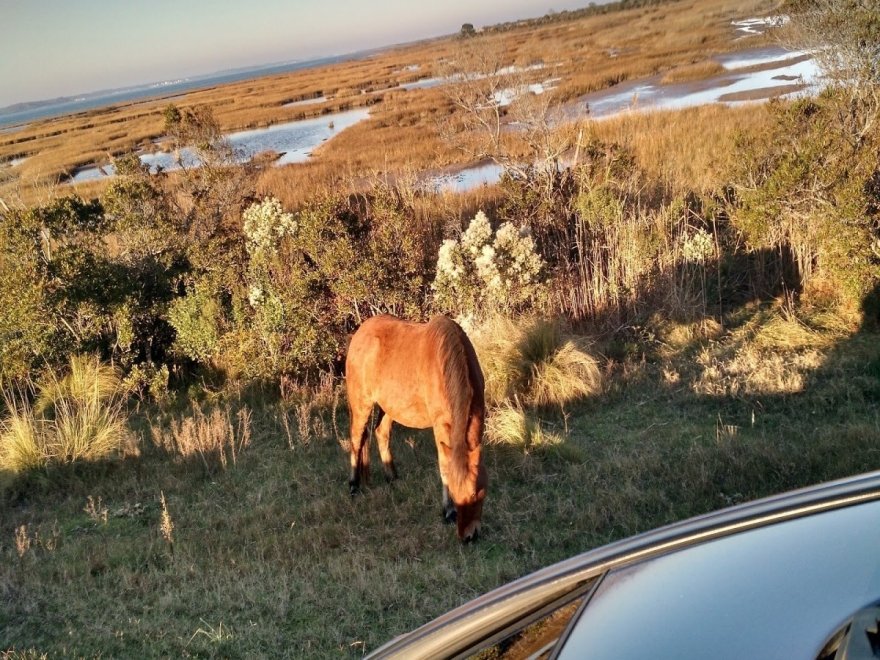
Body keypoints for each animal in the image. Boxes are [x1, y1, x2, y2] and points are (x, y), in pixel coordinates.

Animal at [346, 314, 488, 540]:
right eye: (455, 492)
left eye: (477, 492)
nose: (468, 536)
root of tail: (360, 332)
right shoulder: (441, 426)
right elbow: (444, 466)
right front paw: (448, 511)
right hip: (362, 404)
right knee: (356, 440)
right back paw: (353, 485)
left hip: (389, 408)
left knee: (381, 433)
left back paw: (392, 477)